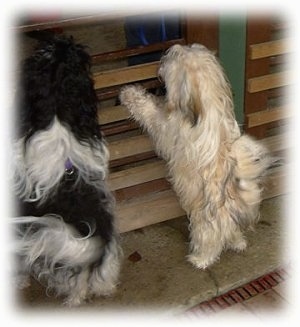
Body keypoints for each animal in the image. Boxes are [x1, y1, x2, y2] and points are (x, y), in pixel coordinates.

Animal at [120, 43, 274, 270]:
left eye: (170, 59)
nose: (160, 63)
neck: (205, 102)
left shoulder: (166, 127)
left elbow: (150, 111)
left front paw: (129, 94)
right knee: (234, 236)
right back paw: (238, 243)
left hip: (205, 223)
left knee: (211, 241)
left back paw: (200, 259)